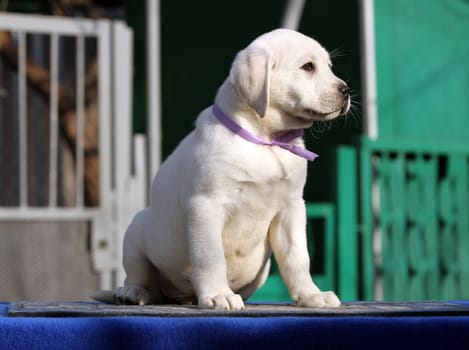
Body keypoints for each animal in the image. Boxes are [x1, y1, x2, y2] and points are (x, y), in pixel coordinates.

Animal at [94, 29, 348, 308]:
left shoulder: (291, 208)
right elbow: (211, 257)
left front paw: (311, 294)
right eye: (308, 67)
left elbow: (297, 258)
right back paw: (132, 293)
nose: (346, 90)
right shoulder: (206, 205)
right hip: (136, 232)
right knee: (140, 278)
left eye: (329, 67)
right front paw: (218, 294)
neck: (264, 139)